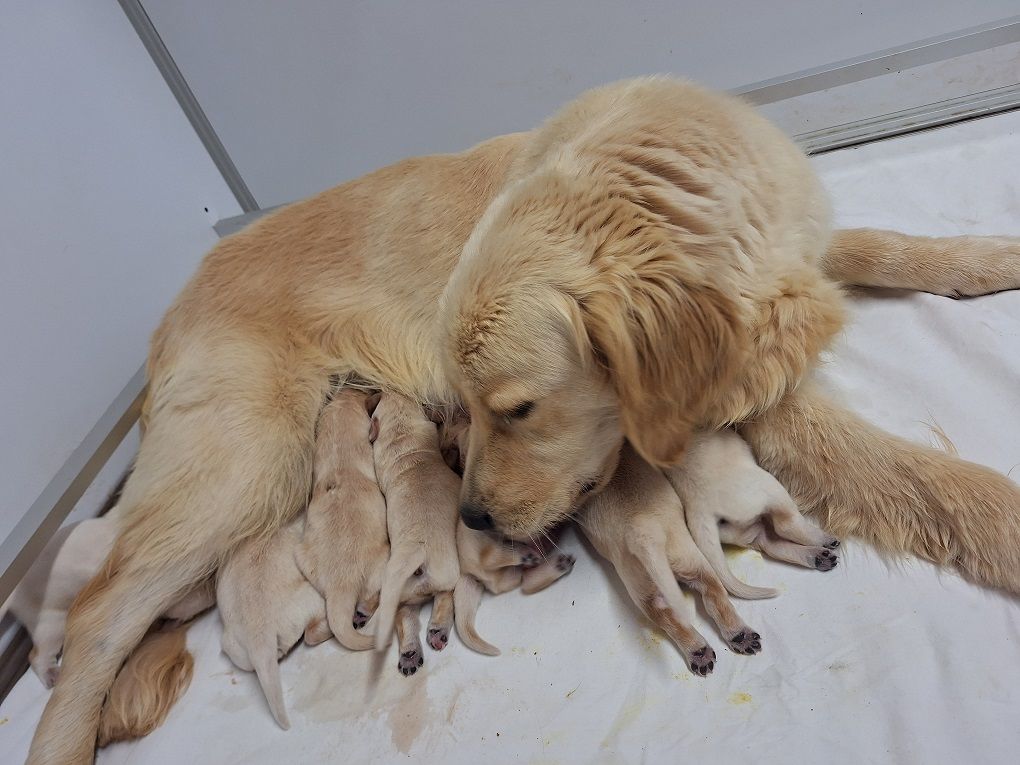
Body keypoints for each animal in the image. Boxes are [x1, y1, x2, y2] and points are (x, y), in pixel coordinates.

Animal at [371, 395, 459, 677]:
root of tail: (416, 551)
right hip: (447, 570)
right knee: (445, 596)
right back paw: (438, 631)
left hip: (401, 592)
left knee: (404, 617)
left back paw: (410, 654)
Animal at [579, 442, 762, 677]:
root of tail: (644, 531)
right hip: (687, 560)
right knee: (713, 596)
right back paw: (726, 641)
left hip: (651, 581)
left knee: (674, 615)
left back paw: (708, 647)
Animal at [660, 432, 836, 599]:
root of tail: (700, 509)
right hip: (769, 489)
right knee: (785, 526)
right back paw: (823, 540)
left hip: (736, 530)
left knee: (770, 542)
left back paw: (818, 557)